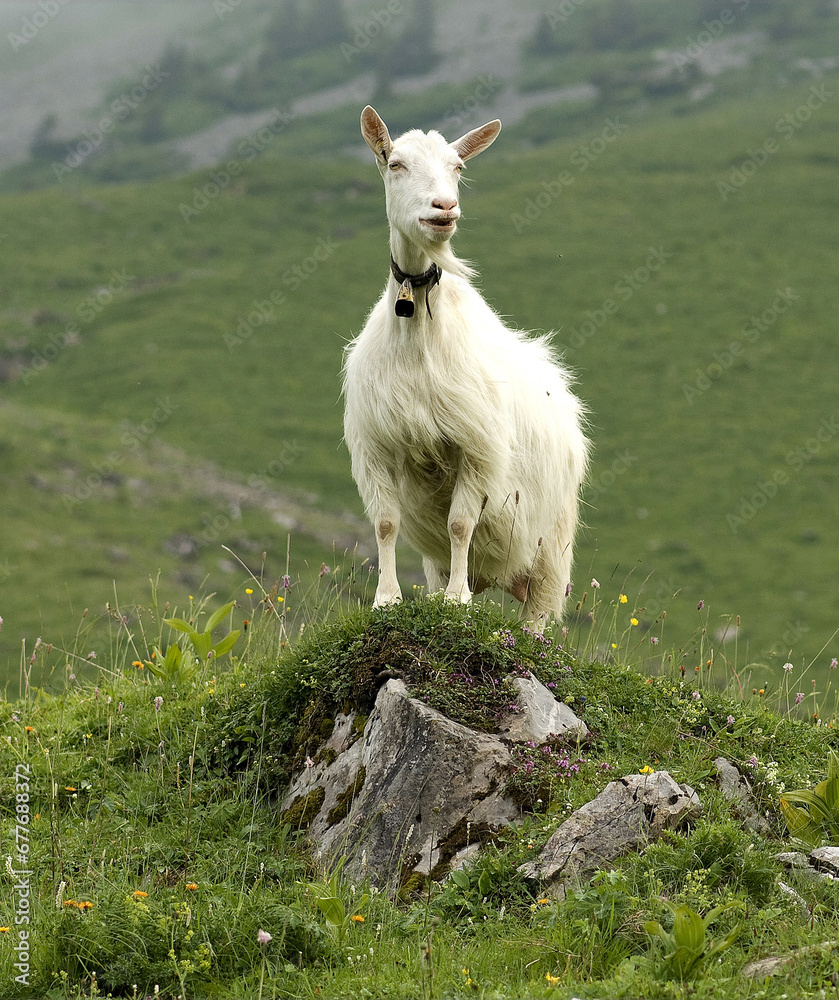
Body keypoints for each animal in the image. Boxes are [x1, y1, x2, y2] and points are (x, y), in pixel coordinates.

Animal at [342, 106, 589, 625]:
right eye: (395, 163)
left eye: (458, 168)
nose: (444, 208)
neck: (419, 335)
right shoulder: (377, 445)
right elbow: (386, 523)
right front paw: (387, 599)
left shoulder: (475, 446)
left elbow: (460, 523)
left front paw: (457, 603)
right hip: (443, 558)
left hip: (551, 551)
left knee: (536, 618)